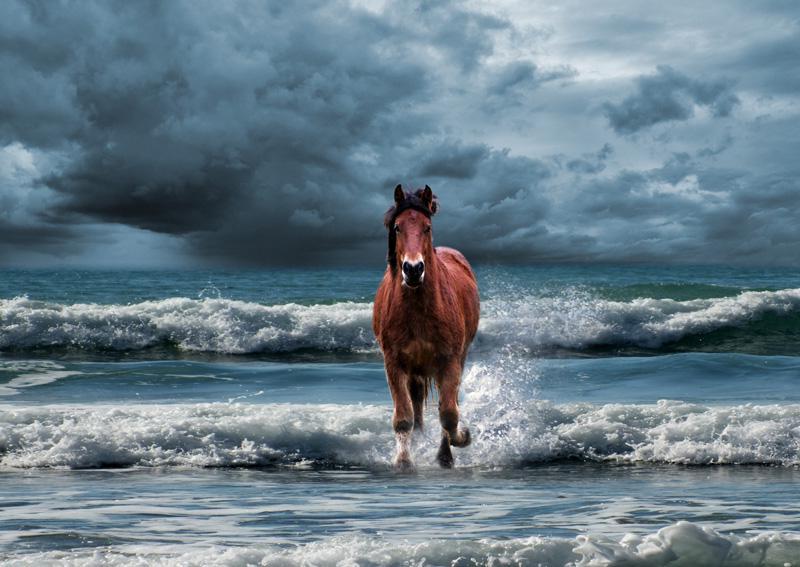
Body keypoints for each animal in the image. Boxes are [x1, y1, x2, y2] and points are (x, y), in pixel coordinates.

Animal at [372, 184, 480, 470]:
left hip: (458, 358)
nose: (413, 269)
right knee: (417, 406)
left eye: (427, 227)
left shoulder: (449, 361)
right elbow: (403, 417)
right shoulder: (394, 363)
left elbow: (449, 413)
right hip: (415, 370)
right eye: (398, 227)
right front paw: (403, 461)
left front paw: (460, 440)